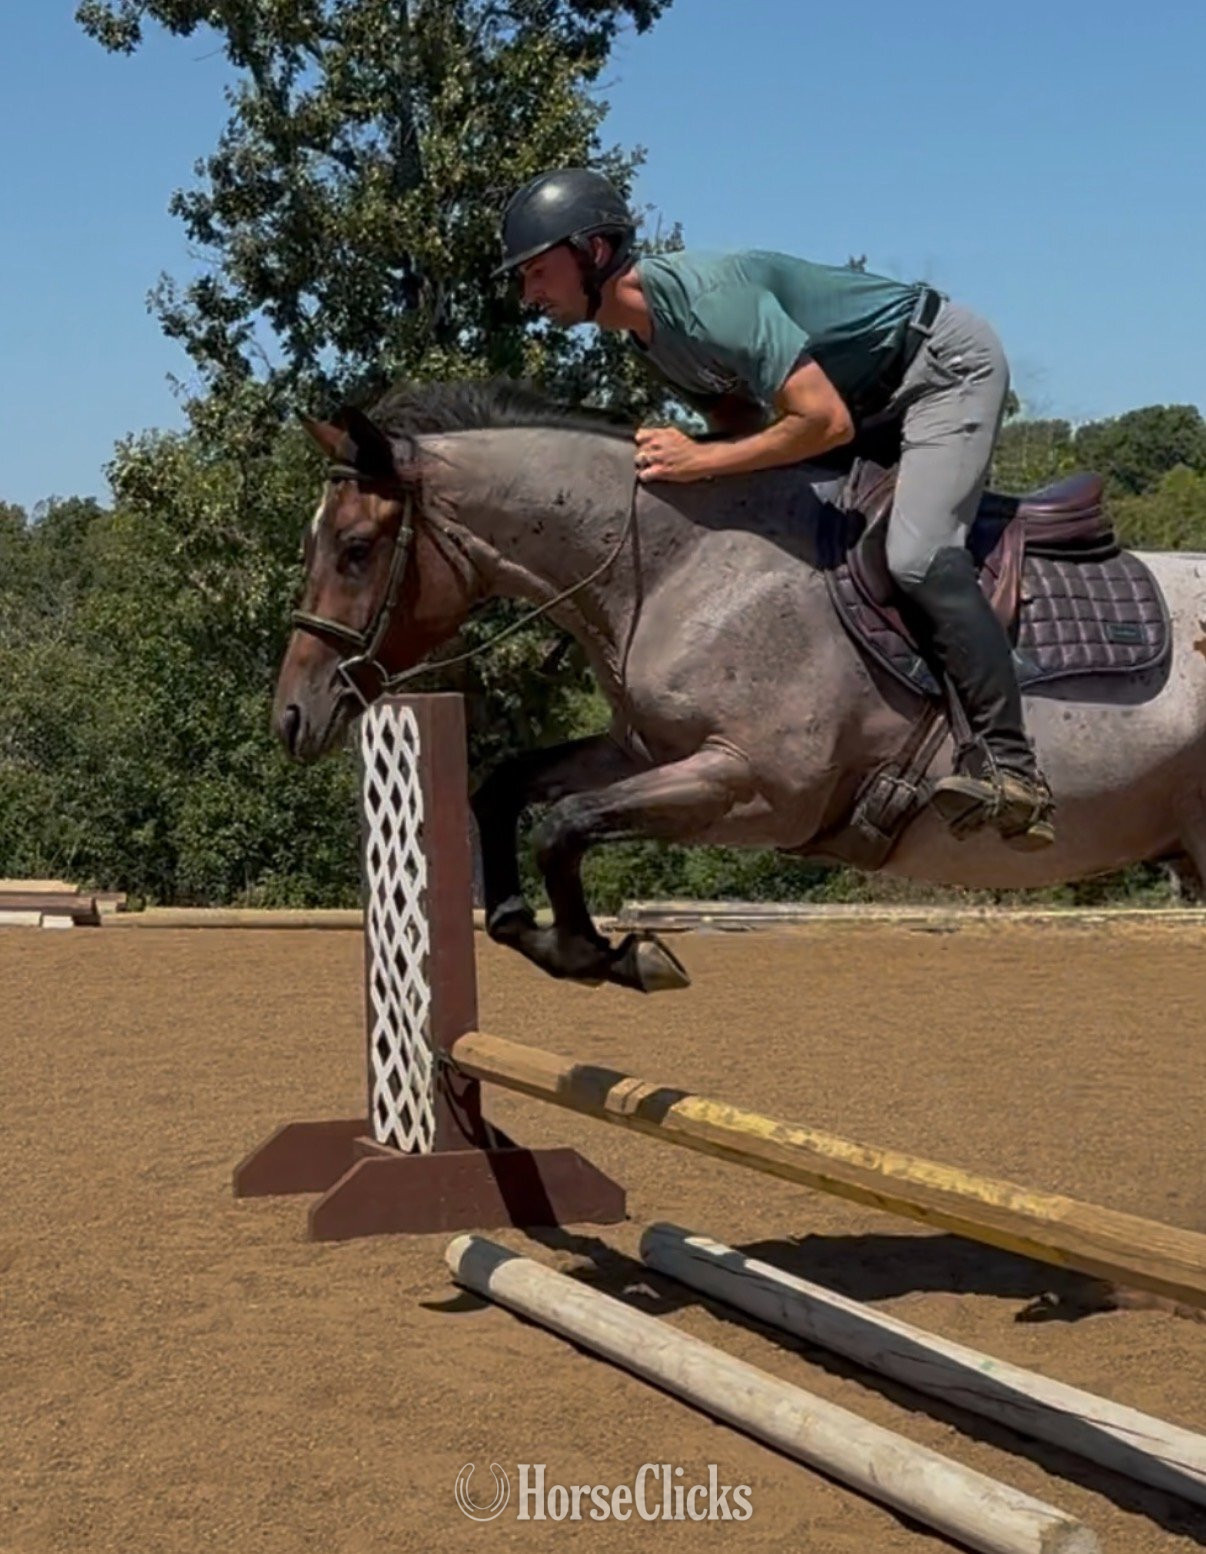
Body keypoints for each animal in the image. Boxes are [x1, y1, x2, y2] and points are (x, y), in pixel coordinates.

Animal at [273, 379, 1206, 992]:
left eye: (356, 548)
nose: (292, 717)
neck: (679, 566)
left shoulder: (758, 790)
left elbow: (562, 825)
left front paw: (613, 954)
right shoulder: (644, 749)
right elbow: (506, 790)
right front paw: (534, 931)